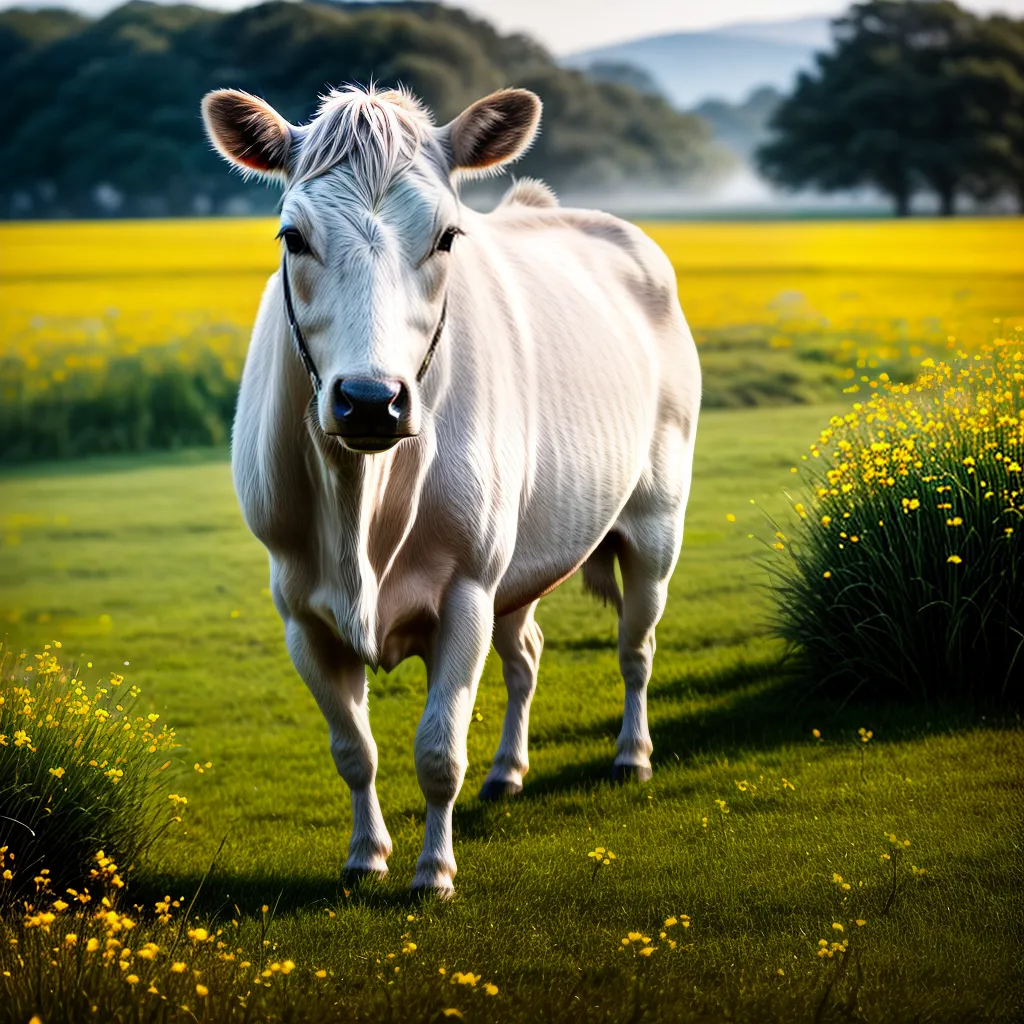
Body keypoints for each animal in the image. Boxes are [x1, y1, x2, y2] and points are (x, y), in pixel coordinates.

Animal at [201, 83, 701, 894]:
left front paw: (434, 872)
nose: (371, 400)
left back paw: (632, 755)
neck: (364, 509)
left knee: (637, 644)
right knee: (527, 653)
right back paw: (508, 773)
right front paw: (365, 857)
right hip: (520, 557)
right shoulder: (300, 607)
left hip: (657, 517)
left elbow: (438, 751)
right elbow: (353, 748)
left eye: (446, 237)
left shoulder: (465, 587)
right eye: (292, 238)